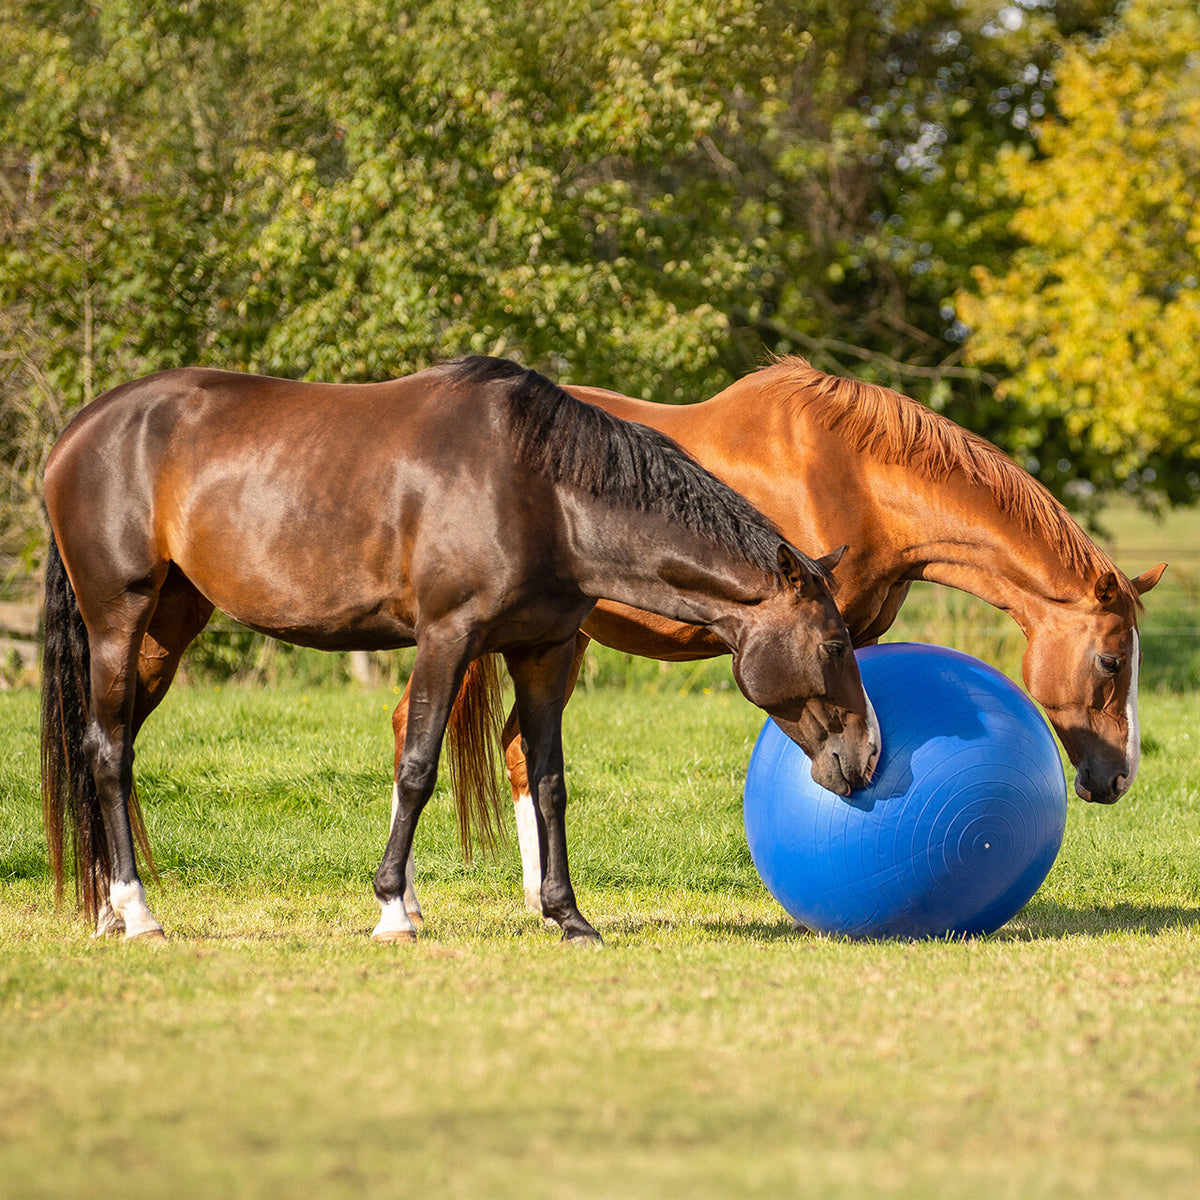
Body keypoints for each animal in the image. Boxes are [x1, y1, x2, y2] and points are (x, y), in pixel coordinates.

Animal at [40, 355, 880, 945]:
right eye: (834, 641)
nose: (868, 755)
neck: (542, 492)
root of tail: (77, 435)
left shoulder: (543, 652)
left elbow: (548, 782)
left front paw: (569, 917)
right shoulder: (447, 638)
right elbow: (417, 768)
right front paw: (391, 910)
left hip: (167, 629)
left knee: (107, 748)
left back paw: (108, 909)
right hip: (118, 621)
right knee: (110, 753)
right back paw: (138, 912)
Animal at [392, 356, 1165, 913]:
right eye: (1110, 660)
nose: (1118, 778)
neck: (856, 477)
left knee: (515, 748)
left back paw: (534, 900)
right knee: (422, 728)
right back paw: (413, 903)